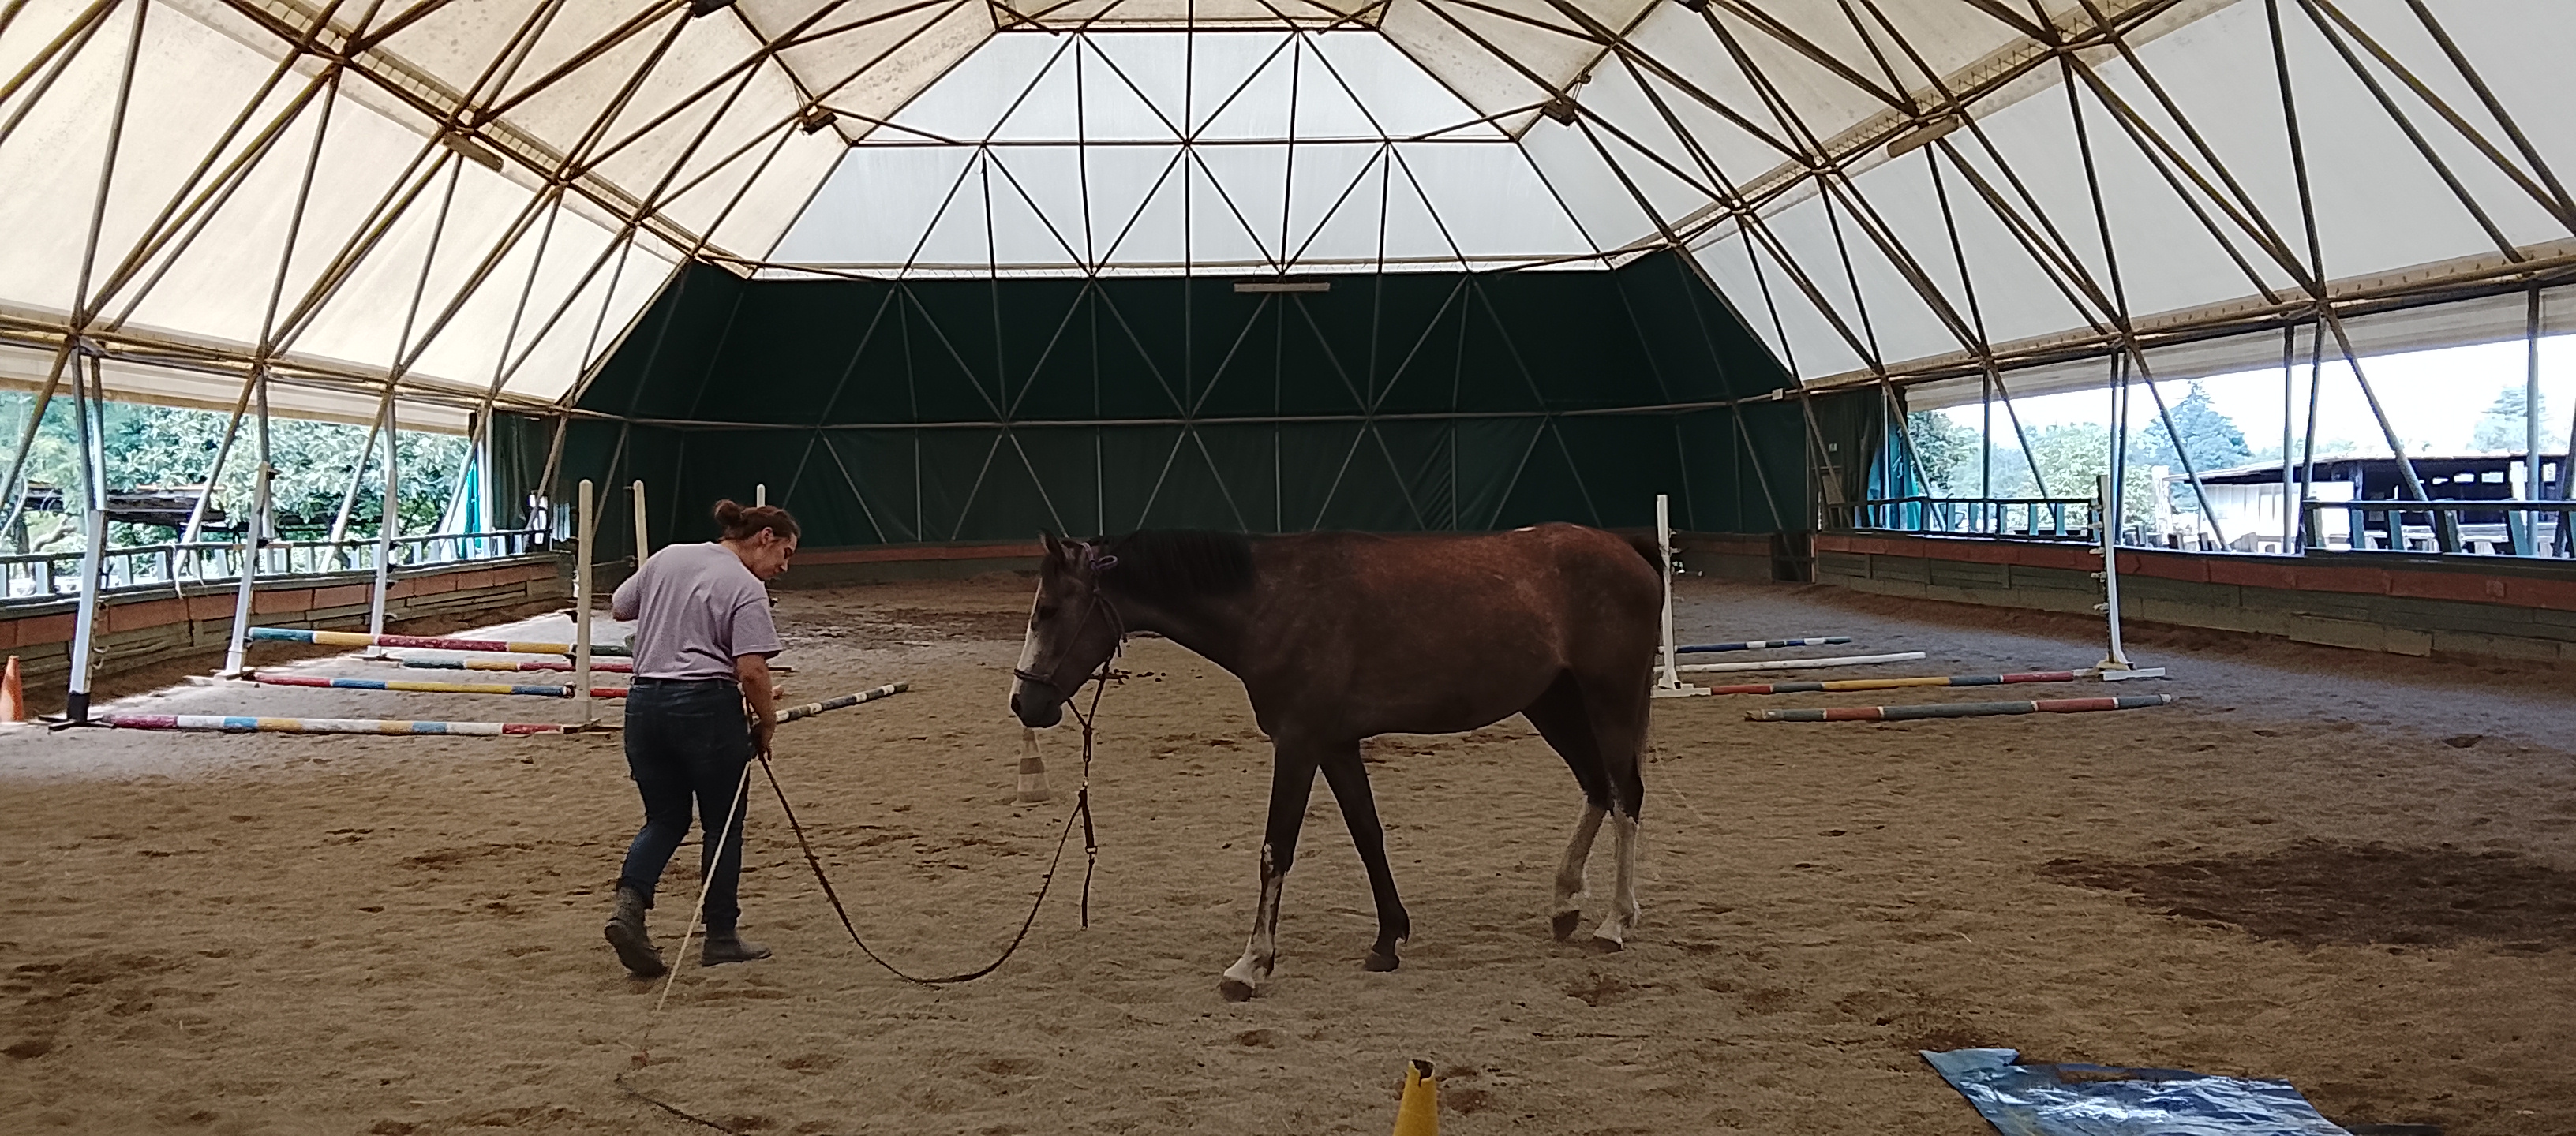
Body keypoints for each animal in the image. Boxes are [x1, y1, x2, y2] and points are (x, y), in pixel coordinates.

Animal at [1008, 525, 1661, 1001]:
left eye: (1049, 610)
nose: (1023, 702)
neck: (1272, 603)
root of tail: (1625, 547)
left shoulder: (1298, 744)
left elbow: (1276, 849)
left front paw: (1250, 964)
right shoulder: (1336, 746)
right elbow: (1367, 834)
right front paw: (1389, 939)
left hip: (1607, 699)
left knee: (1625, 794)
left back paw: (1614, 923)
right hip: (1552, 703)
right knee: (1598, 788)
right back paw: (1565, 903)